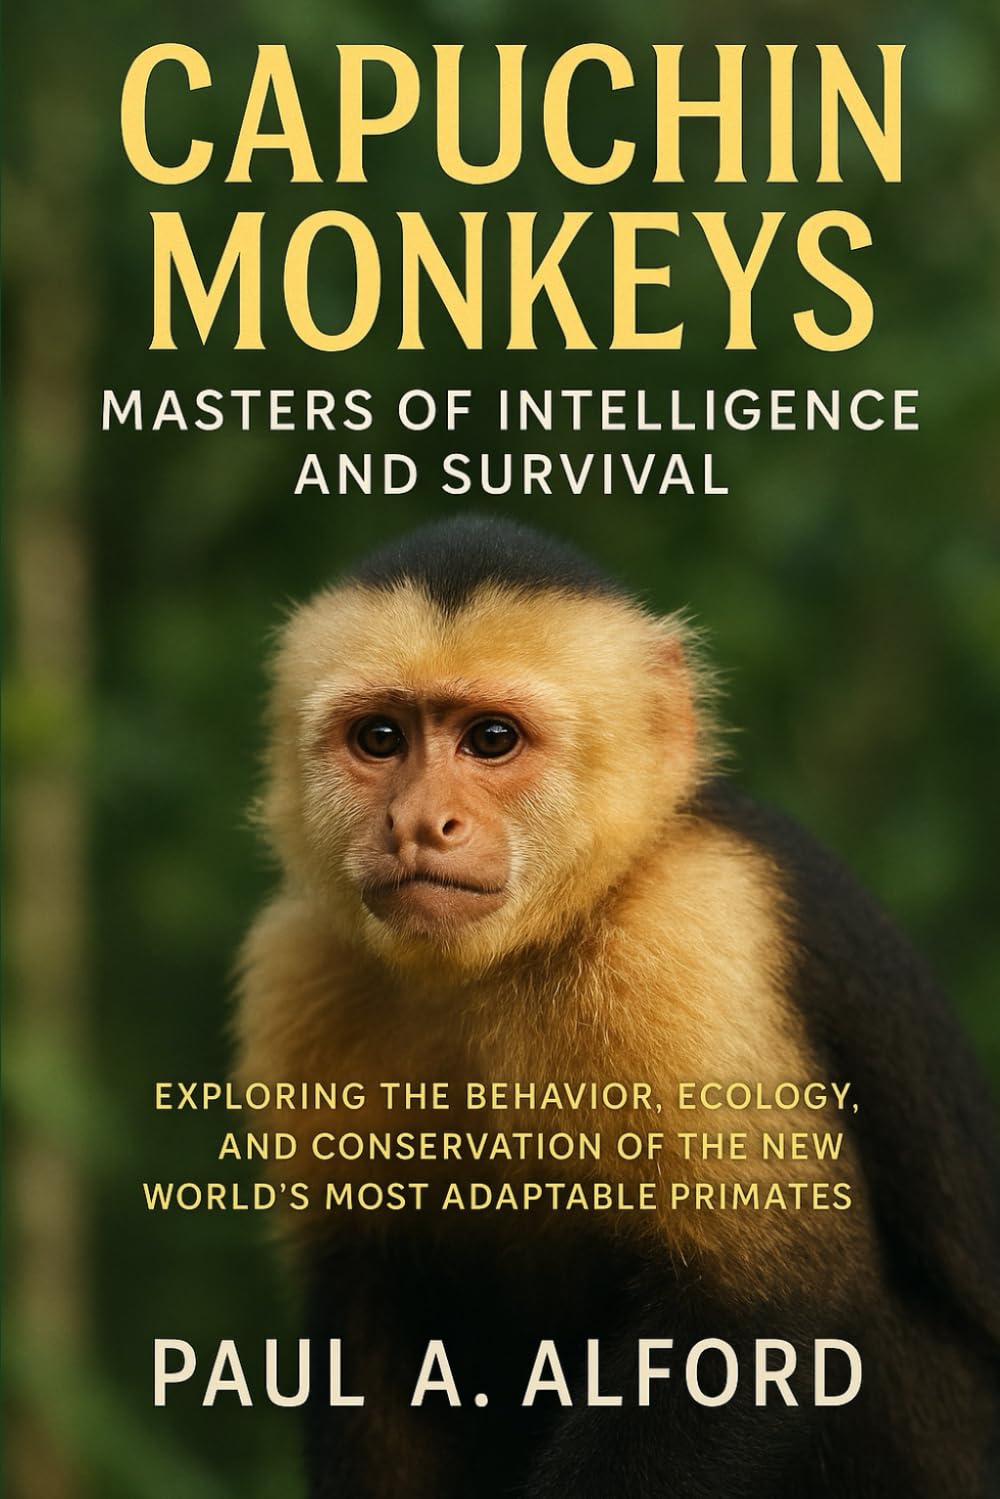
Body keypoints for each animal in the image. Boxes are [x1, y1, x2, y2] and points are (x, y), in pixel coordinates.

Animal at [234, 514, 1000, 1499]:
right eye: (379, 738)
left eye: (491, 739)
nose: (418, 823)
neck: (503, 962)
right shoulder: (298, 963)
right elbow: (370, 1298)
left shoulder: (683, 928)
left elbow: (772, 1308)